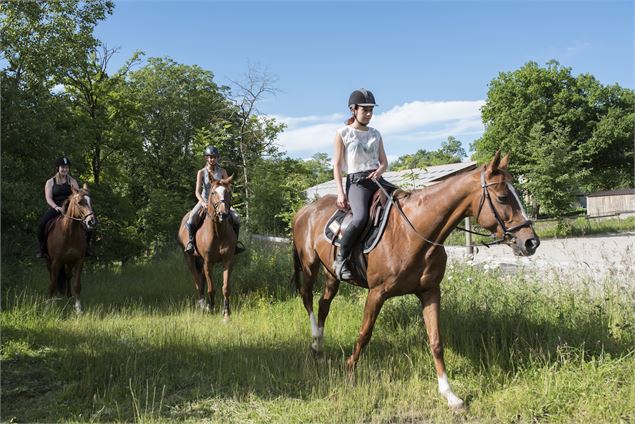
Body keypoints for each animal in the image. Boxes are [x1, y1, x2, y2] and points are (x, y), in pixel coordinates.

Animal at [46, 184, 97, 314]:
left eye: (91, 201)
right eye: (79, 202)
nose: (92, 222)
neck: (69, 232)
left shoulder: (79, 261)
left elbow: (77, 285)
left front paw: (78, 309)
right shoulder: (55, 262)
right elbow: (52, 284)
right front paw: (48, 306)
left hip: (69, 262)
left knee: (68, 276)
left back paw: (69, 296)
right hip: (50, 261)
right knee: (53, 278)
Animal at [178, 175, 237, 318]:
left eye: (229, 192)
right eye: (213, 192)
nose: (223, 214)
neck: (218, 232)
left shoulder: (228, 260)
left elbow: (226, 288)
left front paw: (226, 312)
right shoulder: (208, 262)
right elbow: (211, 288)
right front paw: (212, 308)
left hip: (201, 261)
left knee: (201, 279)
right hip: (189, 258)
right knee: (197, 281)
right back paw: (202, 304)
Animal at [290, 152, 540, 408]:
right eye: (502, 197)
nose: (531, 242)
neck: (413, 232)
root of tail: (305, 210)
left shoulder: (430, 292)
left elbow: (436, 341)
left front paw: (449, 394)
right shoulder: (376, 293)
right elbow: (364, 333)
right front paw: (350, 372)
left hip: (332, 274)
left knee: (324, 305)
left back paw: (319, 348)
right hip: (309, 266)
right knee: (307, 298)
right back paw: (314, 341)